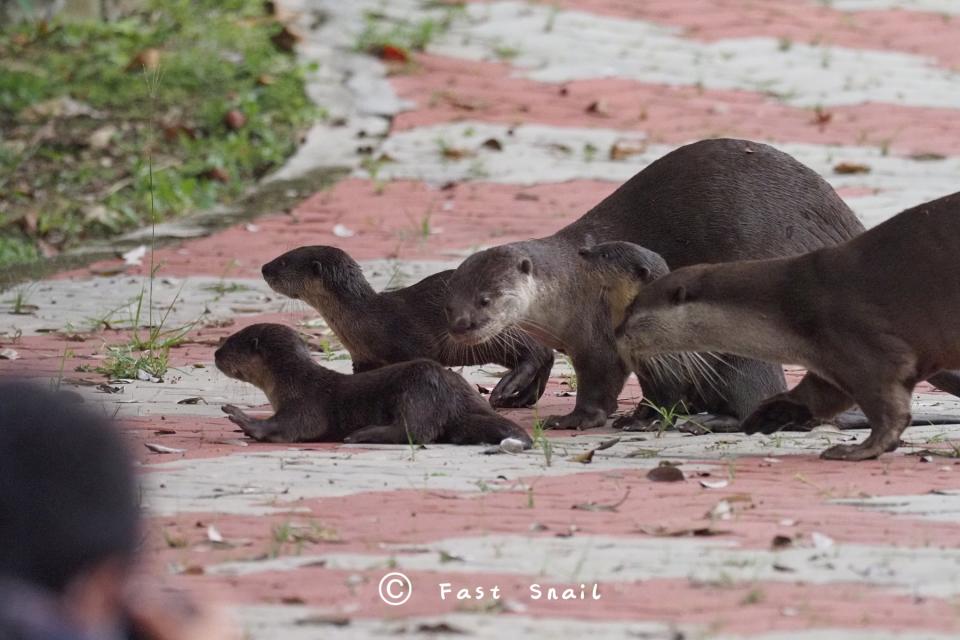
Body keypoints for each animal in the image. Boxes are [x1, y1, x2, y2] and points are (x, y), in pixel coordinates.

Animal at [216, 324, 532, 444]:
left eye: (230, 343)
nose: (215, 354)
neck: (292, 382)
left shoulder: (305, 403)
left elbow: (292, 427)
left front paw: (244, 420)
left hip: (417, 387)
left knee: (416, 431)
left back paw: (362, 434)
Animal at [260, 248, 556, 408]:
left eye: (283, 261)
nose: (263, 267)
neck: (365, 319)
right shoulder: (362, 358)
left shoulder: (409, 343)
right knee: (546, 358)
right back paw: (522, 398)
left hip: (501, 332)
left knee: (536, 355)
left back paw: (505, 390)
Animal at [442, 140, 864, 430]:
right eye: (451, 301)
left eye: (485, 299)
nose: (461, 325)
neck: (570, 288)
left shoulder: (597, 338)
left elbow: (599, 385)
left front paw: (574, 419)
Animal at [612, 191, 960, 460]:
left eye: (630, 311)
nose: (615, 333)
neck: (789, 305)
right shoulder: (832, 361)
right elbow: (821, 394)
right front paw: (776, 411)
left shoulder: (862, 342)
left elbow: (890, 410)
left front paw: (859, 450)